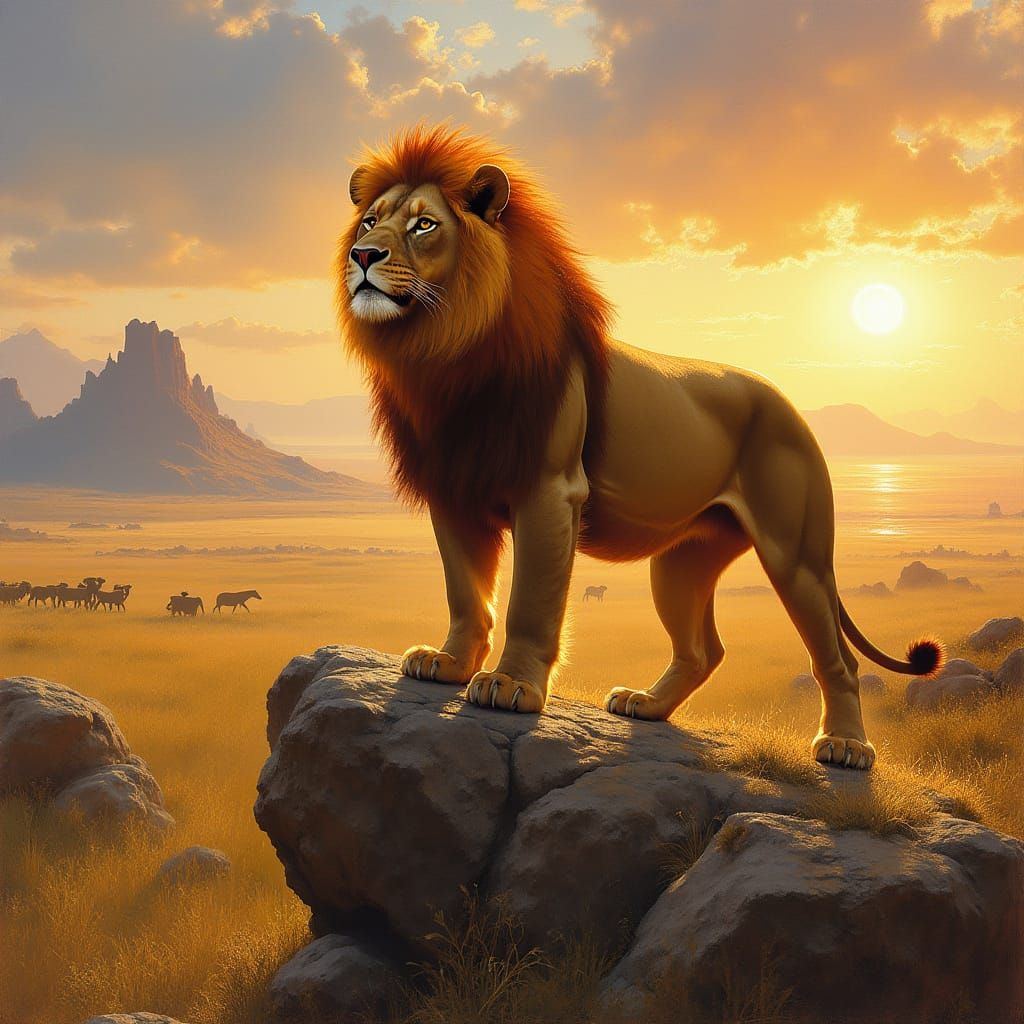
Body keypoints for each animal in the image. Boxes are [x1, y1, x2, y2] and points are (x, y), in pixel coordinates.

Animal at [336, 125, 942, 771]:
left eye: (424, 225)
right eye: (369, 221)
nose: (363, 256)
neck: (443, 352)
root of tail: (788, 404)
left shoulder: (549, 490)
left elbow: (530, 600)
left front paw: (511, 685)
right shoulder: (454, 490)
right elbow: (465, 593)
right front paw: (447, 664)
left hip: (796, 554)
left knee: (837, 656)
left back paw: (846, 746)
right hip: (682, 560)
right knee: (704, 649)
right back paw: (646, 705)